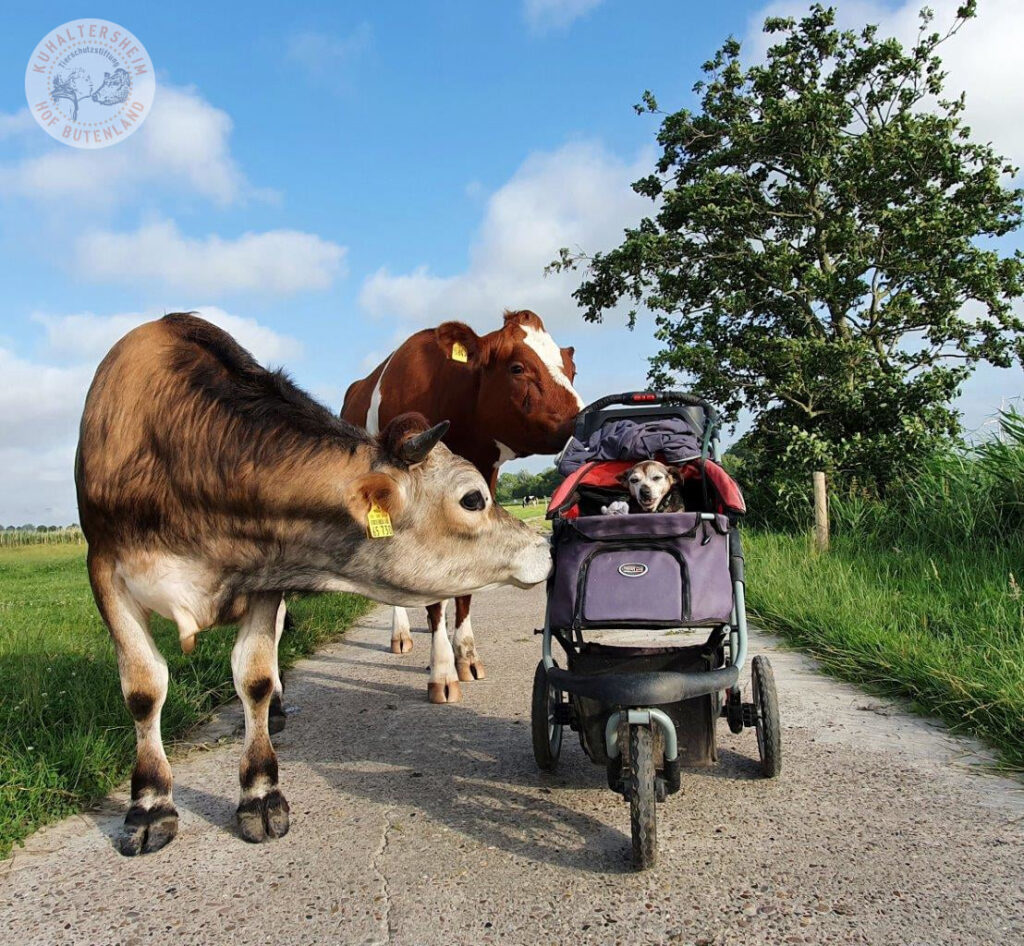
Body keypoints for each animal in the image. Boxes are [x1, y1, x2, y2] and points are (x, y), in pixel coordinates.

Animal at [76, 313, 551, 855]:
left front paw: (260, 794)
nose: (543, 545)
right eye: (473, 499)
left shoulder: (268, 570)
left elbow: (255, 677)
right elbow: (143, 688)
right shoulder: (104, 570)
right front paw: (150, 804)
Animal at [340, 309, 583, 703]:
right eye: (517, 368)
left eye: (572, 369)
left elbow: (463, 592)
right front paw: (442, 671)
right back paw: (401, 634)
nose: (583, 419)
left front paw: (466, 655)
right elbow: (435, 600)